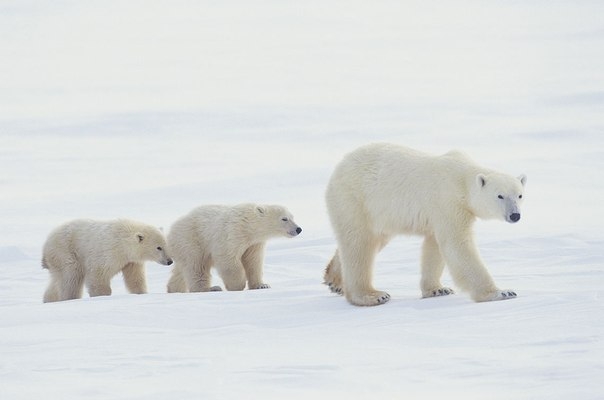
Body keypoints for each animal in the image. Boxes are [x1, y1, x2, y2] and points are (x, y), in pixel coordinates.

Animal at [324, 144, 528, 306]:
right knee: (359, 244)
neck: (462, 179)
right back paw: (372, 295)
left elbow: (434, 246)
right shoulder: (448, 201)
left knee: (372, 240)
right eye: (500, 196)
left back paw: (334, 280)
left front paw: (437, 289)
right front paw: (501, 292)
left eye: (519, 195)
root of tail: (338, 167)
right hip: (355, 199)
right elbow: (457, 245)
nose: (515, 215)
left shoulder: (440, 212)